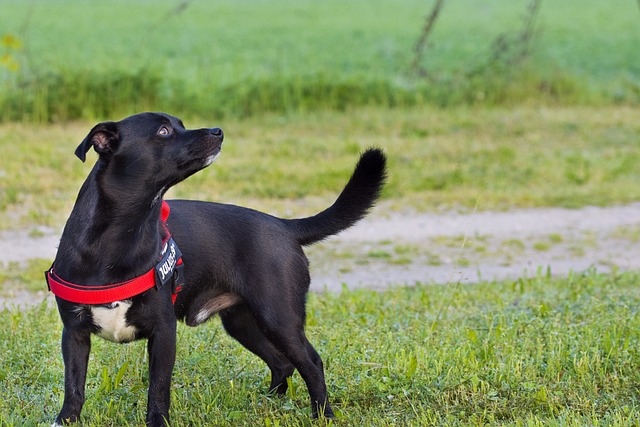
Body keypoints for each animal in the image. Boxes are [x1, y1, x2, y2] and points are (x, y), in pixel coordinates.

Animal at [46, 112, 384, 426]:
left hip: (279, 318)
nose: (217, 130)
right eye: (164, 131)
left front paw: (157, 422)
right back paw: (268, 402)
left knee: (312, 363)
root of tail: (284, 226)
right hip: (243, 322)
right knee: (282, 363)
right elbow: (74, 387)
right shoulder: (74, 334)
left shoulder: (163, 332)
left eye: (180, 124)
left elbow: (158, 389)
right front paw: (65, 420)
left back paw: (322, 414)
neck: (118, 235)